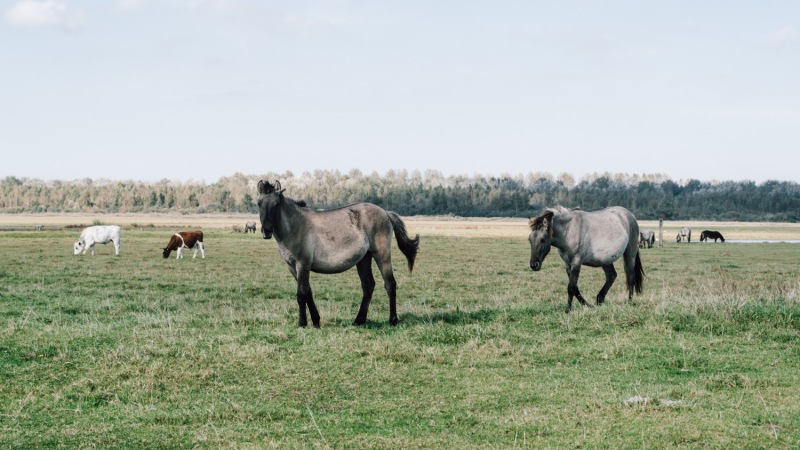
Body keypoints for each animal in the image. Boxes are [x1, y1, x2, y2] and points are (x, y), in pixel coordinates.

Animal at [258, 178, 422, 326]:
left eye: (276, 204)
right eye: (259, 203)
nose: (266, 231)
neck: (294, 225)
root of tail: (386, 213)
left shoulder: (303, 264)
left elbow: (302, 294)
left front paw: (302, 323)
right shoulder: (292, 267)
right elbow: (308, 292)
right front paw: (316, 321)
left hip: (381, 254)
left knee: (390, 284)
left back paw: (392, 320)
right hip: (364, 258)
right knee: (368, 285)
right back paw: (358, 321)